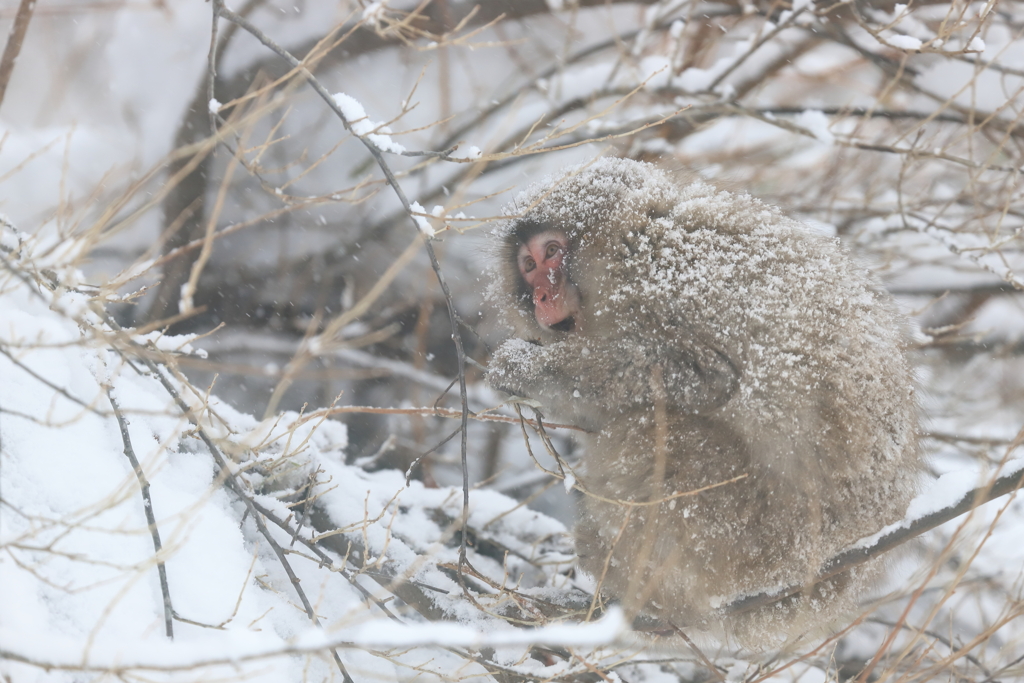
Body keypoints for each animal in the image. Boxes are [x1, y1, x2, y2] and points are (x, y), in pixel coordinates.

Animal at [487, 157, 921, 651]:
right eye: (528, 265)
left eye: (553, 251)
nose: (541, 295)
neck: (630, 237)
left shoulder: (660, 280)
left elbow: (706, 376)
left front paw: (524, 368)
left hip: (748, 541)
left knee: (650, 432)